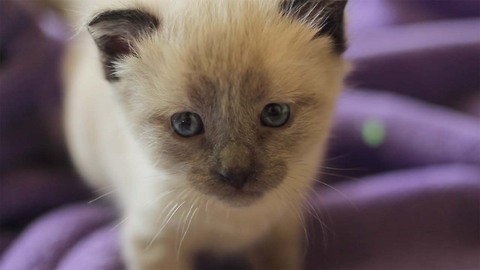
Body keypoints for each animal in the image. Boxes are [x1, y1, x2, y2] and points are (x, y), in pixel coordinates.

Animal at [62, 0, 348, 270]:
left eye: (275, 114)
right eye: (185, 124)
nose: (236, 176)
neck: (237, 221)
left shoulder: (281, 230)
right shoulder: (152, 242)